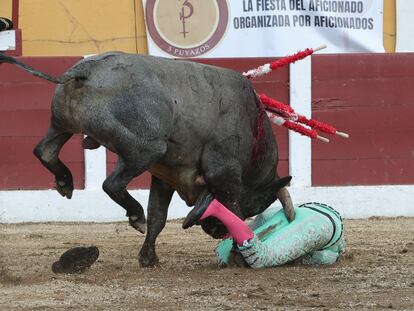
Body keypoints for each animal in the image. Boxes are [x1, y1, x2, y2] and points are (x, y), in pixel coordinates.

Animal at [1, 52, 296, 266]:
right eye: (255, 205)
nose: (216, 232)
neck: (254, 127)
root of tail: (85, 71)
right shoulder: (224, 173)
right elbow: (233, 210)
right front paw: (237, 256)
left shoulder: (164, 176)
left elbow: (159, 216)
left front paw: (148, 258)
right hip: (146, 149)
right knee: (111, 183)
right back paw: (135, 214)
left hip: (62, 124)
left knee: (46, 150)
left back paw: (65, 182)